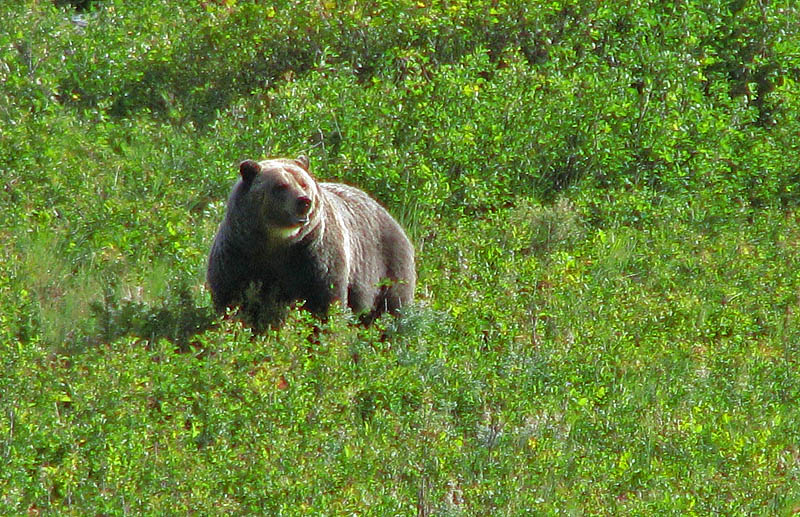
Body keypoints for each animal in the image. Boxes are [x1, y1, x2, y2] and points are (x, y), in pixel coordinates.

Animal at [207, 155, 416, 327]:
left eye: (303, 183)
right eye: (280, 186)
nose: (304, 201)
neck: (276, 241)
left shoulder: (314, 256)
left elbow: (325, 302)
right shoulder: (238, 252)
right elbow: (229, 297)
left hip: (386, 266)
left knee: (393, 308)